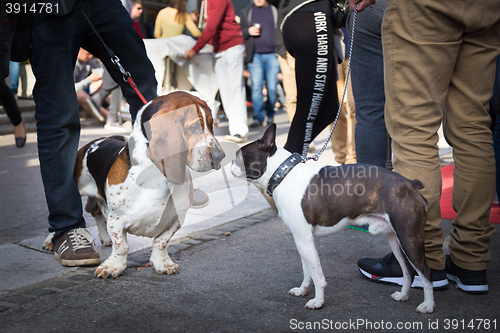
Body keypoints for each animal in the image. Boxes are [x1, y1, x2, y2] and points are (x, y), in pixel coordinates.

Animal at [230, 124, 434, 312]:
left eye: (239, 156)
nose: (230, 162)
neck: (283, 174)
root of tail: (411, 184)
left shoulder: (305, 240)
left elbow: (317, 275)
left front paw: (318, 301)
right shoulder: (301, 239)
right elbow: (306, 270)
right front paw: (302, 290)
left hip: (409, 237)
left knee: (425, 272)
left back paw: (428, 305)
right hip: (395, 239)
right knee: (407, 271)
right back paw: (403, 295)